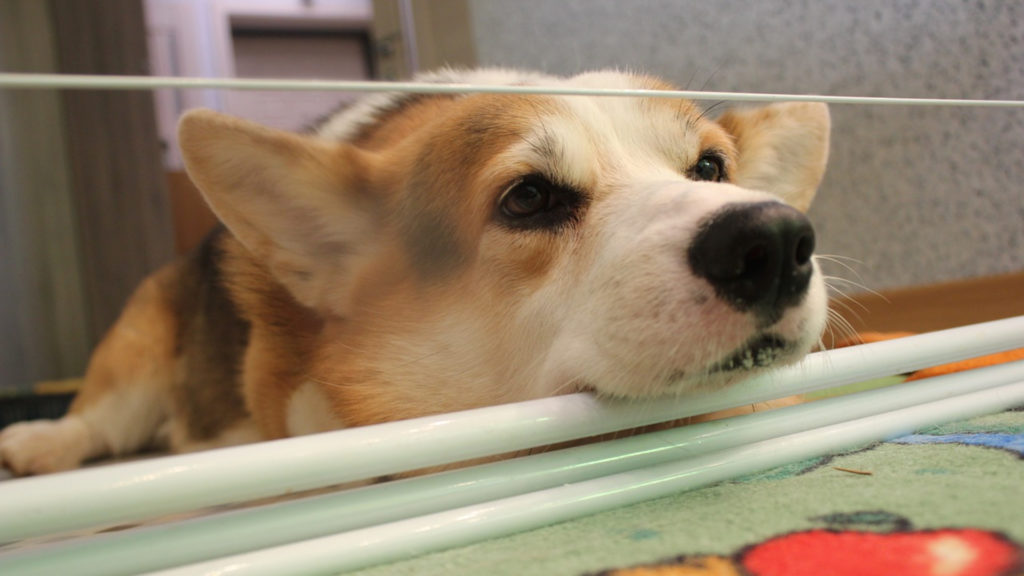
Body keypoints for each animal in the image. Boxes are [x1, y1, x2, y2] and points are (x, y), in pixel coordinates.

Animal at [0, 69, 827, 473]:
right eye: (529, 197)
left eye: (712, 168)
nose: (773, 240)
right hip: (137, 354)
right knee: (101, 419)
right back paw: (40, 444)